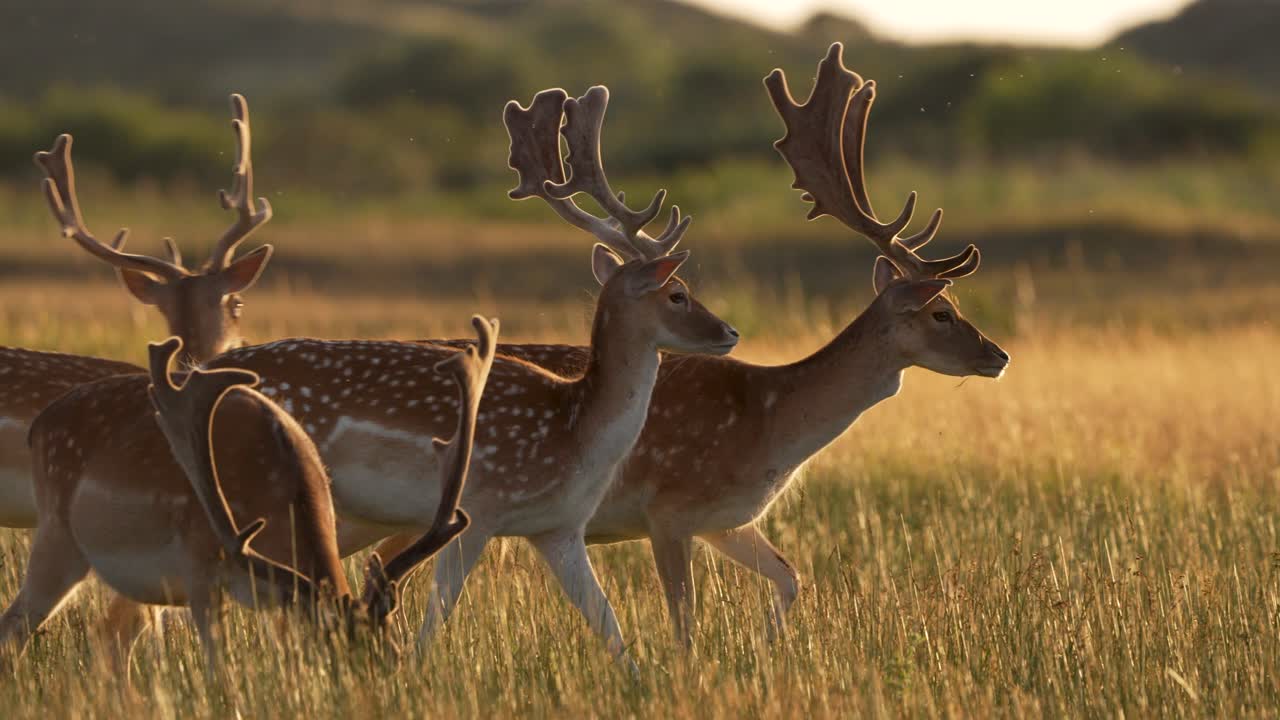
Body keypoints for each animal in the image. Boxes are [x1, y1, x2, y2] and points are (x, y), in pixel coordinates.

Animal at [419, 41, 1008, 640]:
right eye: (941, 312)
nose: (999, 355)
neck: (768, 427)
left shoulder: (724, 521)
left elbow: (792, 578)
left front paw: (768, 646)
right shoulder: (668, 511)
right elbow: (685, 623)